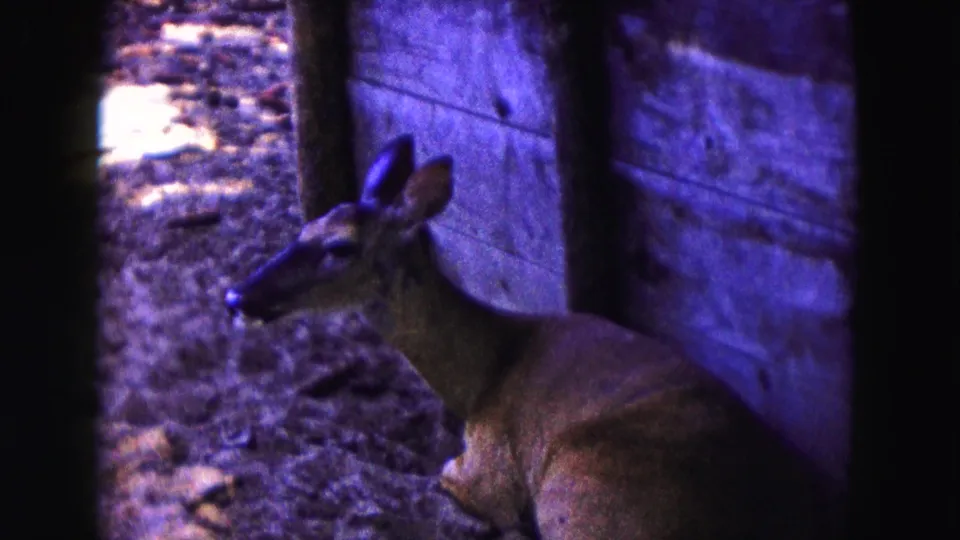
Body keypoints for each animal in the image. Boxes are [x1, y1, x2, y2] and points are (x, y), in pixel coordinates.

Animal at [223, 135, 842, 539]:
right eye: (304, 227)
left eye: (340, 247)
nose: (237, 296)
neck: (481, 376)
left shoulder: (492, 470)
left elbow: (451, 477)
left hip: (586, 495)